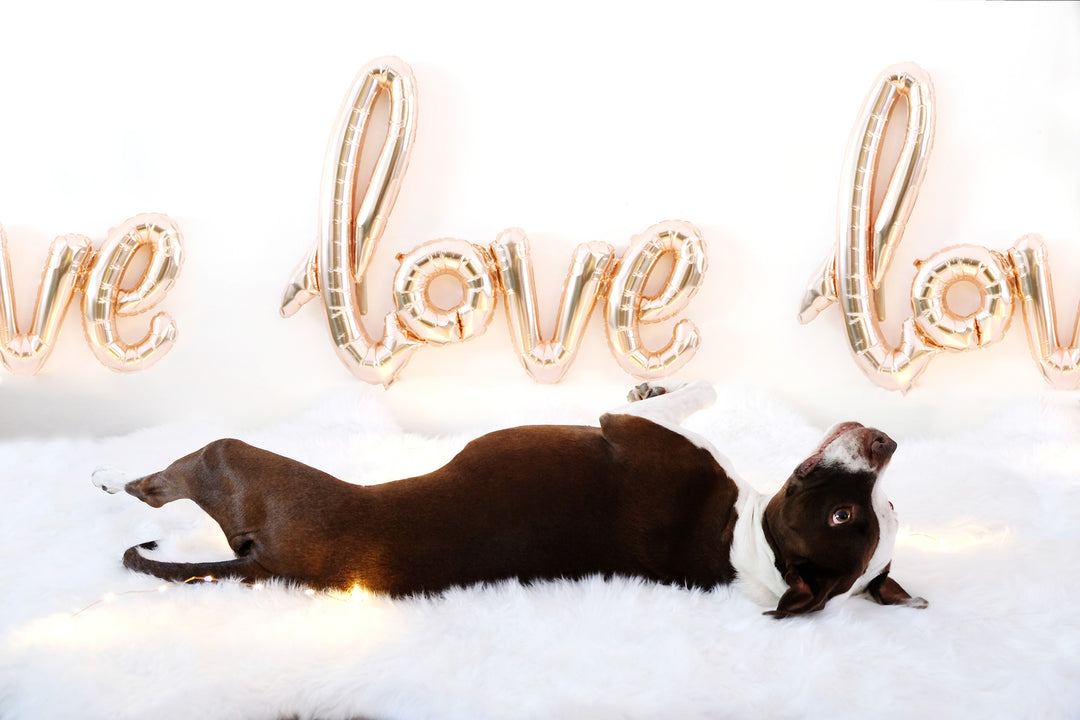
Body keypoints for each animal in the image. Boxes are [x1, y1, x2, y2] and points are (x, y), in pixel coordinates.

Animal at [92, 377, 924, 621]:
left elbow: (692, 393)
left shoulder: (630, 432)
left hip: (238, 461)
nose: (887, 443)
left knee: (181, 470)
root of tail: (265, 568)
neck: (743, 544)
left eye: (848, 515)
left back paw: (116, 477)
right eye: (874, 511)